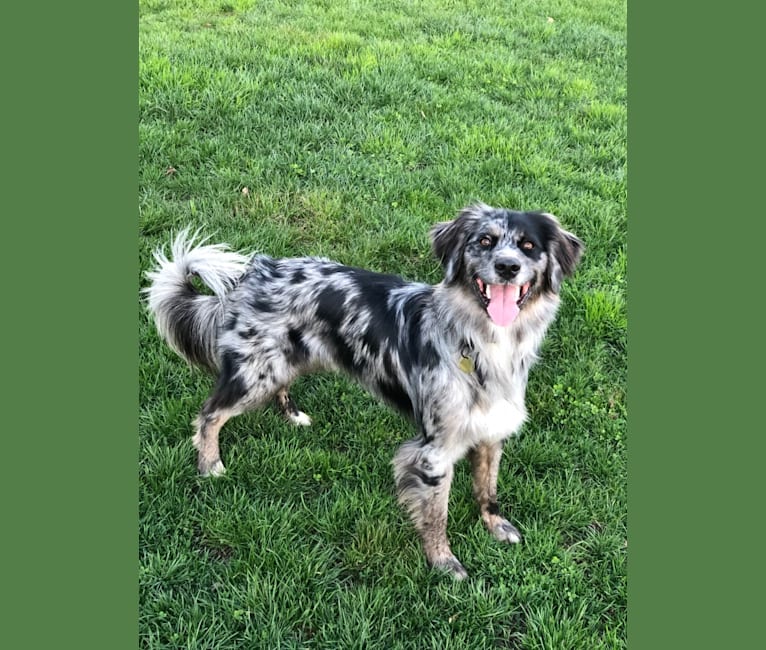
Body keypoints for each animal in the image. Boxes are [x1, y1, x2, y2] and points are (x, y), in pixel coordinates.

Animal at [147, 202, 584, 576]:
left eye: (528, 247)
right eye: (485, 241)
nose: (508, 267)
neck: (483, 343)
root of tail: (253, 275)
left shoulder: (492, 432)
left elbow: (487, 488)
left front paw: (495, 525)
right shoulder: (433, 453)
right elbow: (436, 515)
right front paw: (443, 563)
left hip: (285, 361)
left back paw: (293, 415)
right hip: (255, 373)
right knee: (209, 414)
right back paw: (210, 465)